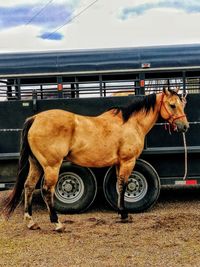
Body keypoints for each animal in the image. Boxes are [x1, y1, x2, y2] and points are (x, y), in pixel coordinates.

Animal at [1, 87, 189, 232]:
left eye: (182, 104)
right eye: (172, 105)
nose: (185, 126)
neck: (130, 123)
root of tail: (35, 119)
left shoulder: (118, 163)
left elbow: (119, 186)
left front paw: (120, 213)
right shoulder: (128, 161)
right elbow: (124, 185)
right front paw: (124, 214)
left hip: (36, 165)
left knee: (28, 186)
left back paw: (31, 222)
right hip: (51, 166)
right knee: (48, 190)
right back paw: (57, 223)